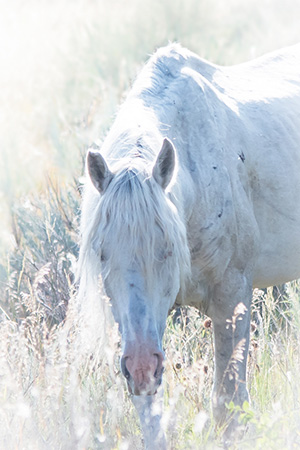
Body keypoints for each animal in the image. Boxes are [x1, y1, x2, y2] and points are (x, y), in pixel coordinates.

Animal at [77, 43, 300, 446]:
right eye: (101, 255)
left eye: (167, 249)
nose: (142, 368)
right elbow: (152, 422)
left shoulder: (231, 299)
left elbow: (229, 407)